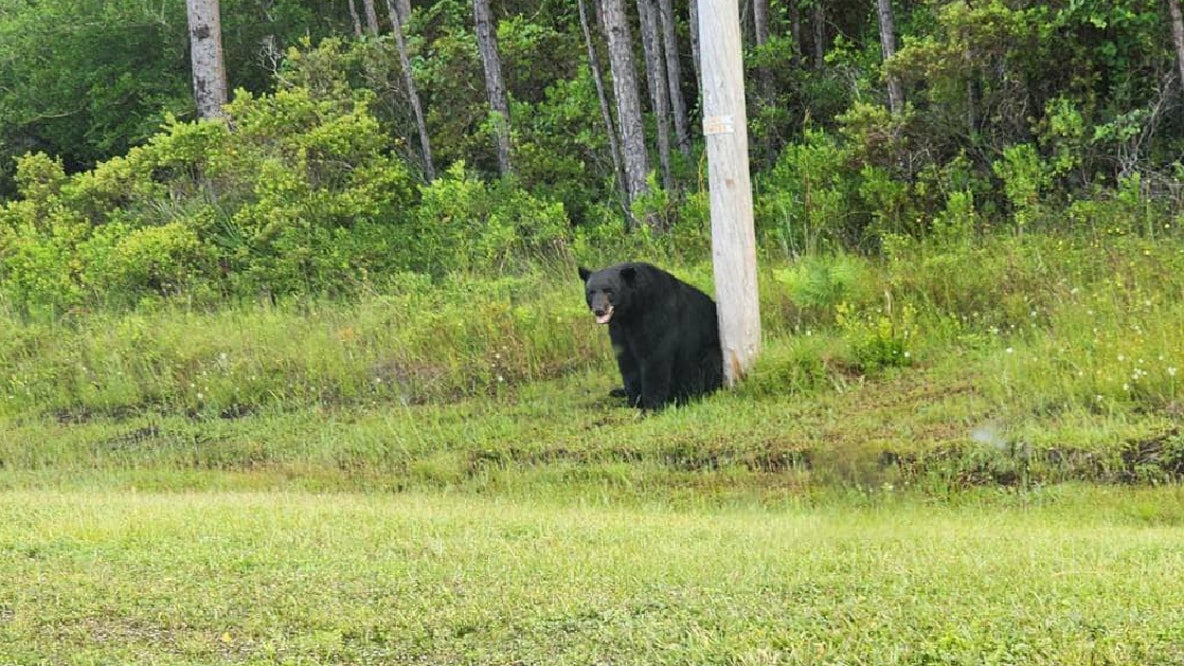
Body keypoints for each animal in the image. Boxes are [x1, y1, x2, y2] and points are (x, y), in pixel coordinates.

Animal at [578, 262, 723, 410]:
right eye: (591, 292)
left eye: (609, 290)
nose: (599, 310)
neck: (631, 312)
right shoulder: (619, 329)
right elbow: (627, 360)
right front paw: (634, 401)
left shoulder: (657, 317)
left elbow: (654, 358)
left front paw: (652, 407)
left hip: (708, 352)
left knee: (707, 367)